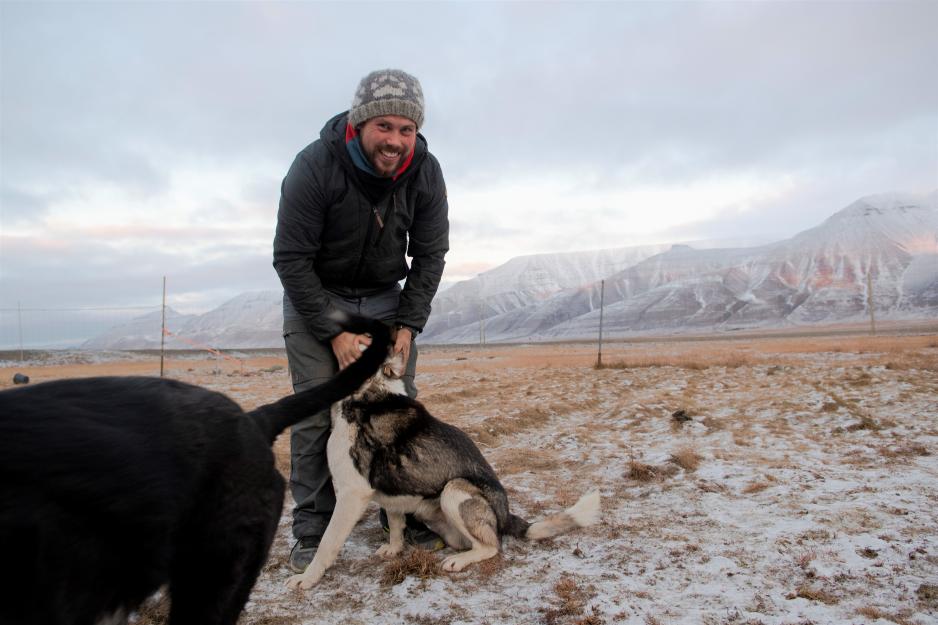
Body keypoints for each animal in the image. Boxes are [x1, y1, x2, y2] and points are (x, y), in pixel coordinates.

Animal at [286, 352, 600, 588]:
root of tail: (505, 515)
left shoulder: (352, 494)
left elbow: (328, 542)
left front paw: (308, 579)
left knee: (492, 546)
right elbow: (396, 523)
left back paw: (459, 561)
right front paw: (394, 549)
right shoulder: (392, 492)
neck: (370, 392)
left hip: (455, 490)